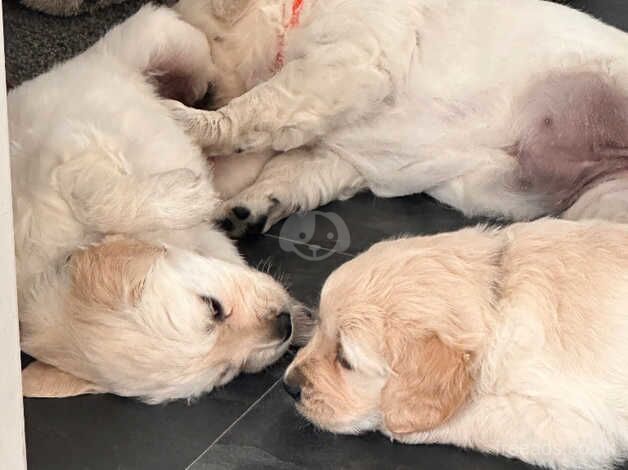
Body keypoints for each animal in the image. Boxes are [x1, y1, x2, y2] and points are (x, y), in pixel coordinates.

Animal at [9, 5, 304, 404]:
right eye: (227, 372)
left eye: (213, 307)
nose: (283, 325)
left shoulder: (66, 150)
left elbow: (94, 194)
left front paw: (188, 196)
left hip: (170, 41)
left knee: (212, 81)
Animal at [169, 0, 628, 237]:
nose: (196, 93)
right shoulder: (342, 153)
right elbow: (292, 171)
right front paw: (248, 207)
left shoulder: (349, 59)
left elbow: (259, 103)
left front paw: (191, 121)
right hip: (603, 199)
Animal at [284, 219, 628, 470]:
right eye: (319, 326)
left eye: (345, 359)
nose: (288, 386)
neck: (498, 297)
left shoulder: (578, 430)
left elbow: (477, 415)